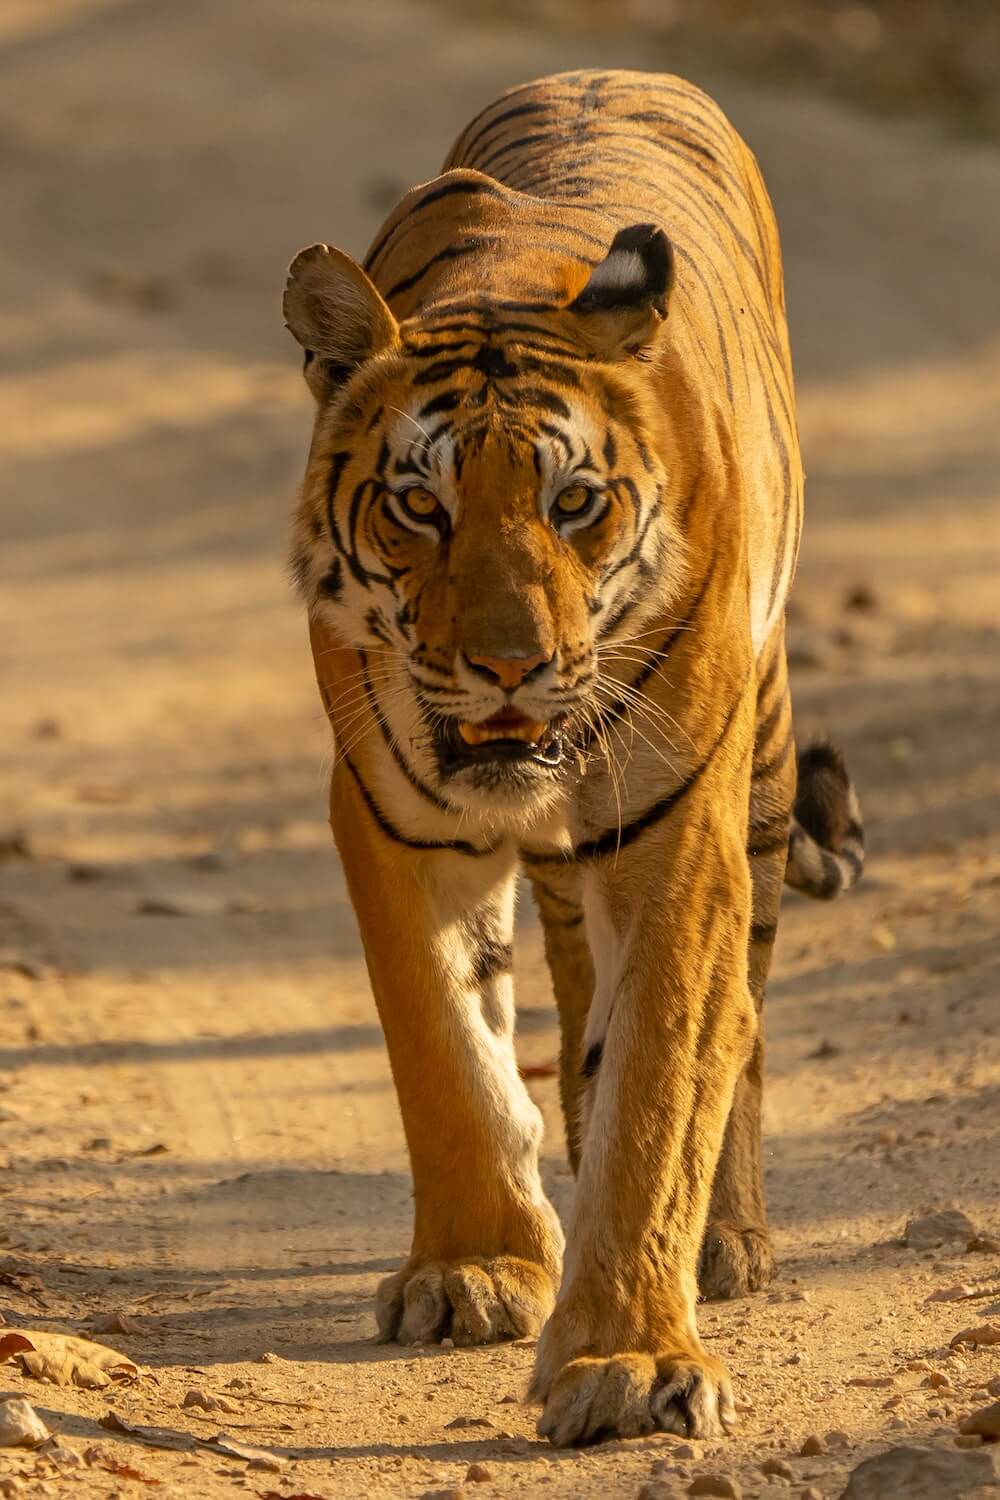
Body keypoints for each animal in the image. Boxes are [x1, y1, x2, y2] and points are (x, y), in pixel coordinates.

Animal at [282, 68, 864, 1446]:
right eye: (419, 504)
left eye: (573, 503)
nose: (508, 664)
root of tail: (617, 70)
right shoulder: (392, 820)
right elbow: (443, 1045)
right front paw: (475, 1268)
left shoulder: (682, 841)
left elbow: (664, 1074)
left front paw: (629, 1358)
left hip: (762, 770)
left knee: (741, 1010)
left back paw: (728, 1241)